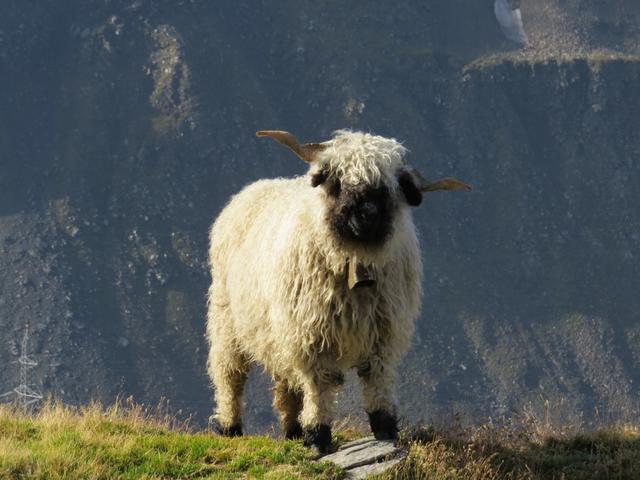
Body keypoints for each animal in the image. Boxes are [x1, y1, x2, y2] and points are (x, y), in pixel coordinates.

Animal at [206, 129, 470, 452]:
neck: (354, 259)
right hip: (228, 320)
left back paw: (292, 430)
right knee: (230, 374)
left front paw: (385, 428)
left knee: (285, 383)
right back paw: (230, 426)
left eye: (386, 189)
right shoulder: (311, 337)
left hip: (276, 332)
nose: (366, 216)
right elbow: (319, 385)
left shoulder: (383, 334)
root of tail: (256, 187)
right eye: (338, 181)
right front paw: (318, 436)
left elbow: (376, 378)